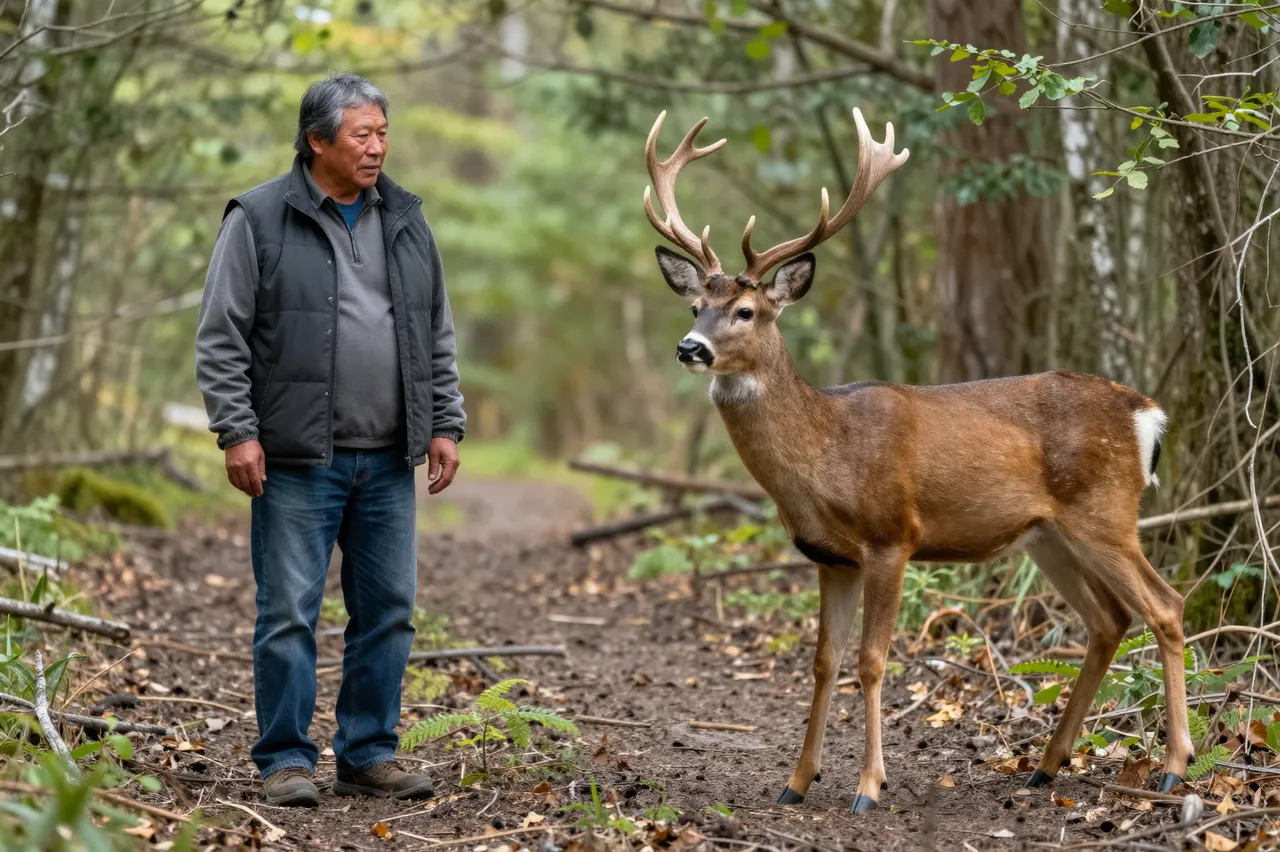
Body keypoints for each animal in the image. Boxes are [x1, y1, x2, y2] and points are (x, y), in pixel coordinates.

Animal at [641, 107, 1191, 814]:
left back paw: (1174, 766)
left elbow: (872, 661)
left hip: (1106, 510)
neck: (824, 456)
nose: (691, 348)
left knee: (1165, 607)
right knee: (1109, 620)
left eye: (746, 310)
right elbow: (823, 661)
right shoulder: (829, 557)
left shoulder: (890, 536)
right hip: (1050, 536)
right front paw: (797, 782)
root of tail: (1146, 413)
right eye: (693, 306)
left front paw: (868, 788)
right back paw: (1045, 766)